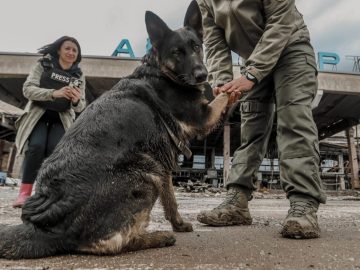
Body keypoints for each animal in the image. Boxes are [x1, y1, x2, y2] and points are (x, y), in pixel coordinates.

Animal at [0, 0, 228, 258]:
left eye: (196, 46)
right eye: (176, 52)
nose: (202, 75)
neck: (161, 72)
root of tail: (46, 228)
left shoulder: (165, 164)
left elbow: (170, 199)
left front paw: (178, 223)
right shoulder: (203, 116)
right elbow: (226, 95)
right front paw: (241, 83)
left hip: (153, 168)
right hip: (146, 173)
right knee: (112, 244)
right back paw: (157, 237)